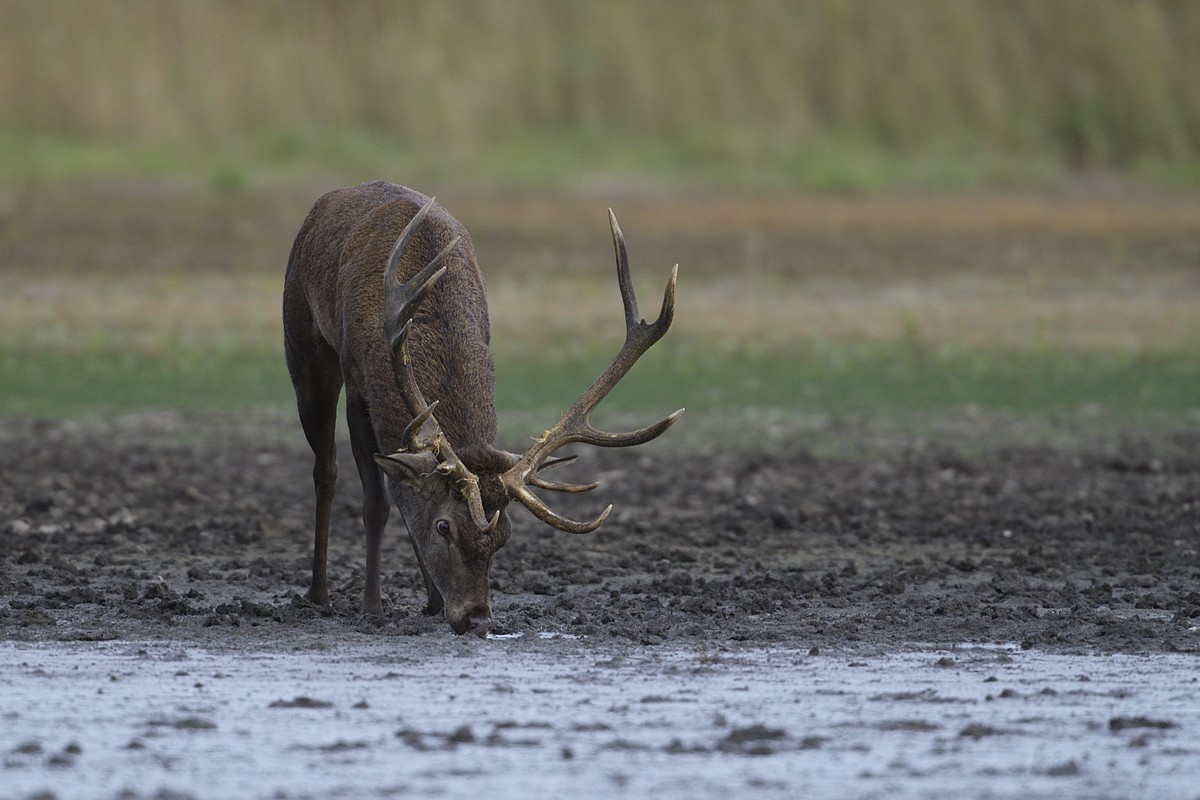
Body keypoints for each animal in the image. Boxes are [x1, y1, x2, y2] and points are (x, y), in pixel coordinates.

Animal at [276, 181, 681, 638]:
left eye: (503, 534)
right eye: (444, 527)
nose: (477, 617)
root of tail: (331, 197)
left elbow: (404, 494)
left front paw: (433, 601)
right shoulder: (358, 384)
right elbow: (376, 503)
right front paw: (371, 608)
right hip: (303, 343)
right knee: (325, 471)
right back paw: (318, 593)